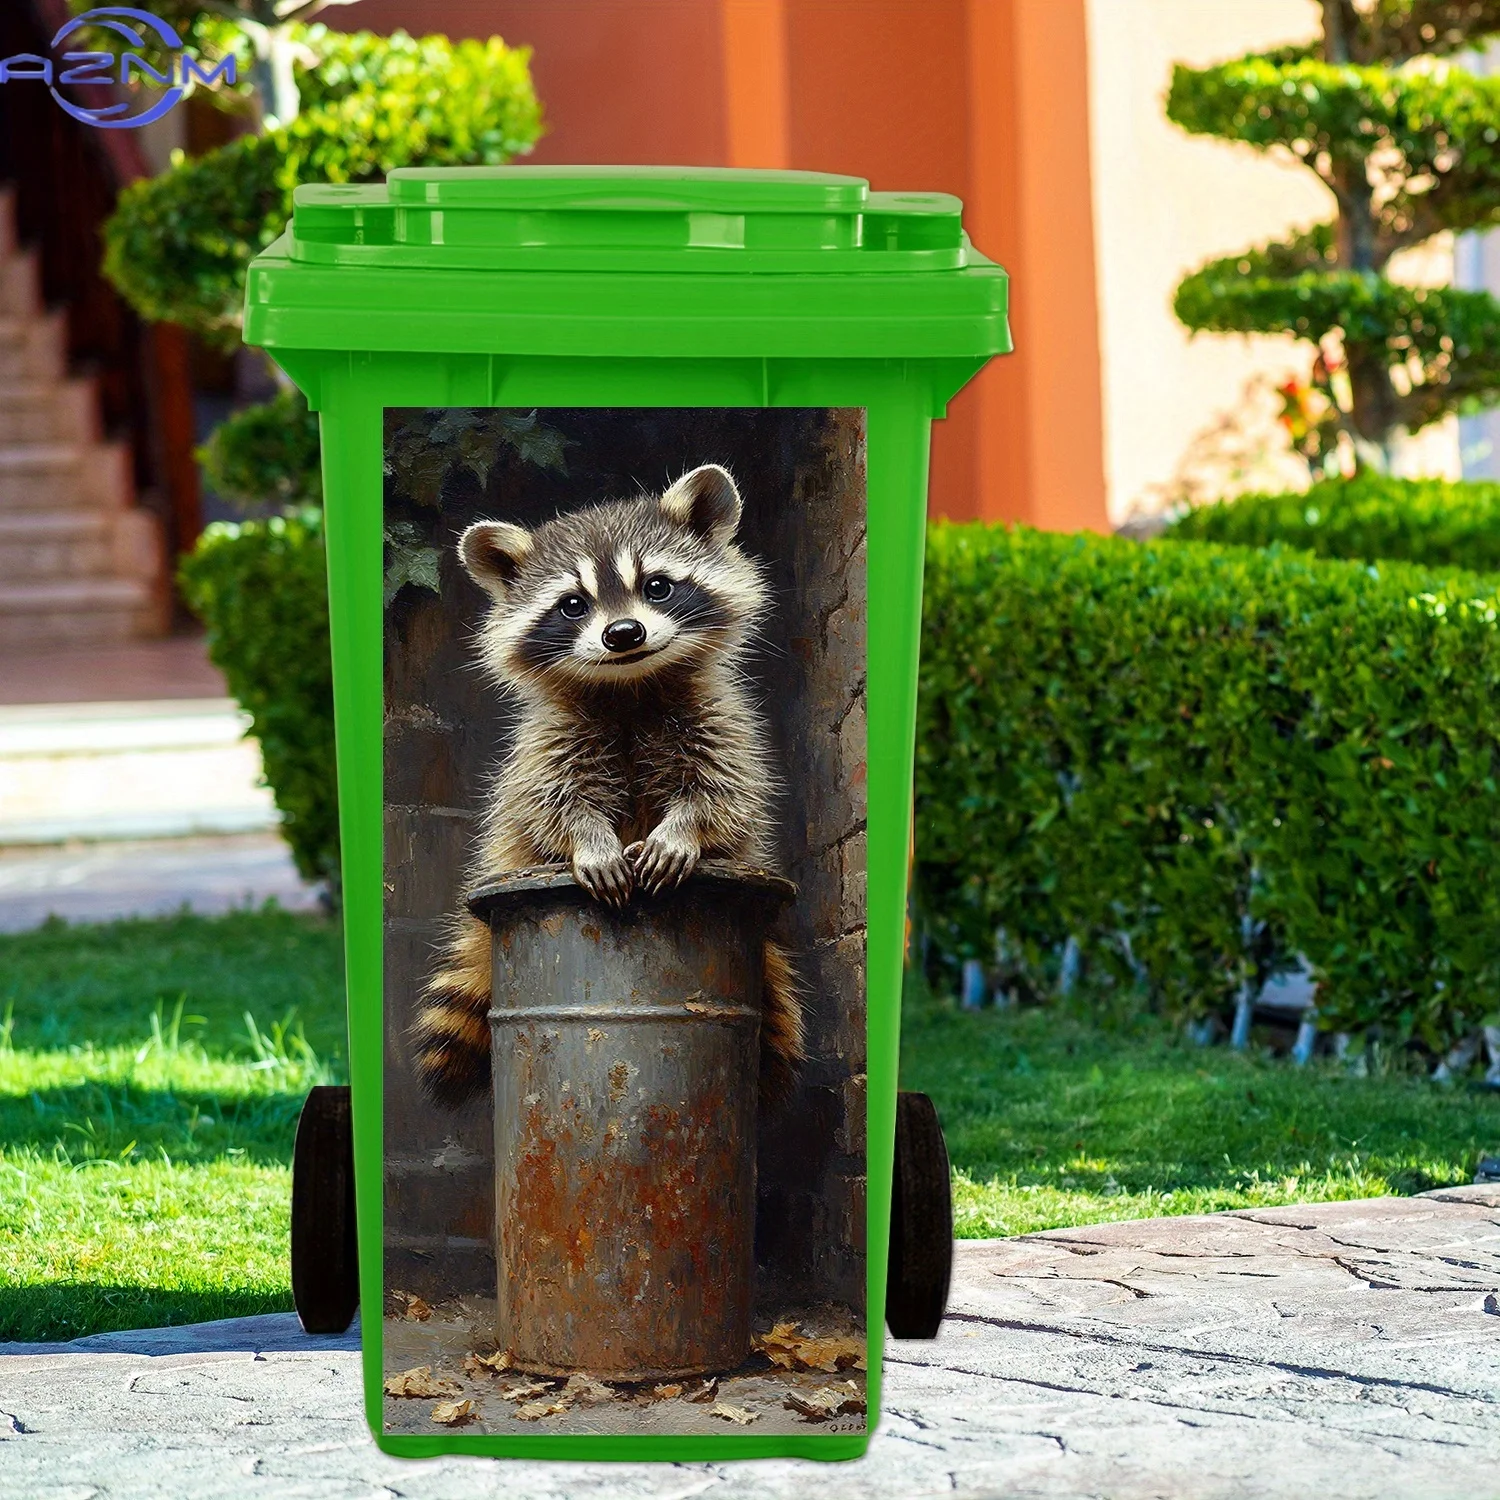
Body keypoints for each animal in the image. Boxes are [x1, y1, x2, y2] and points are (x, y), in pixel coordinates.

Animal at [410, 463, 805, 1109]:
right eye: (573, 605)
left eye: (658, 587)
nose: (623, 633)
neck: (630, 685)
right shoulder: (548, 742)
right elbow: (551, 802)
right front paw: (588, 839)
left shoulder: (718, 721)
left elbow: (723, 793)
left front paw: (683, 830)